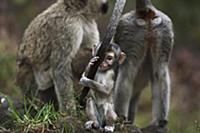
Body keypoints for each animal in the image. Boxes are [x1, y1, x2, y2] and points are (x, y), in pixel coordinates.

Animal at [113, 0, 174, 129]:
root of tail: (146, 11)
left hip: (129, 30)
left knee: (126, 72)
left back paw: (120, 119)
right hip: (162, 30)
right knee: (161, 72)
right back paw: (159, 123)